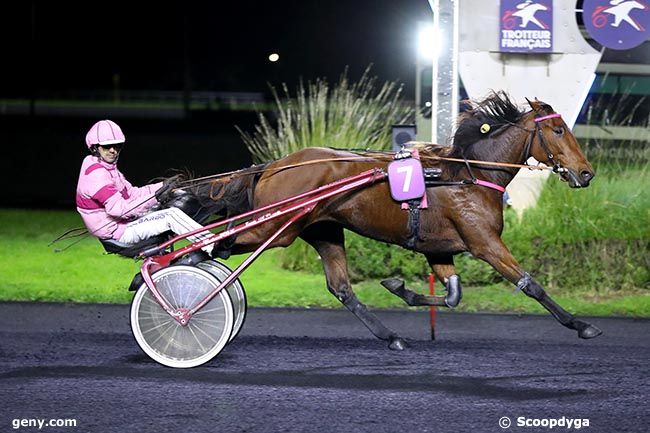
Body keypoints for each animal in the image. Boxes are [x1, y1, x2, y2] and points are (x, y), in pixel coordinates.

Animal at [175, 90, 600, 348]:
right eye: (558, 129)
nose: (586, 173)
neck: (466, 174)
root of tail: (274, 166)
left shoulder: (440, 250)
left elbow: (453, 295)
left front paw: (399, 287)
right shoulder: (485, 244)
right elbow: (530, 285)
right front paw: (582, 325)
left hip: (323, 231)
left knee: (341, 288)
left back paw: (391, 336)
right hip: (274, 228)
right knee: (217, 244)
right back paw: (182, 284)